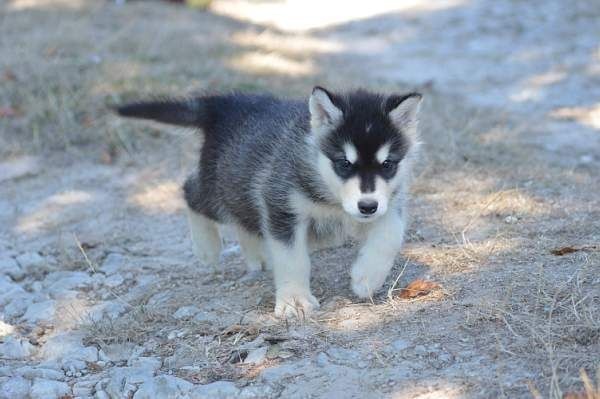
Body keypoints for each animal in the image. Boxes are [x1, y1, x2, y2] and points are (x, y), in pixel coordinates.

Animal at [116, 87, 422, 318]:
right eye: (344, 164)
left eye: (388, 165)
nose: (367, 207)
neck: (331, 198)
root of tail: (225, 103)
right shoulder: (281, 206)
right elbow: (292, 258)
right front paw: (294, 300)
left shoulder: (388, 203)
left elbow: (391, 234)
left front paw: (367, 277)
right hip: (223, 189)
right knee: (191, 189)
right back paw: (207, 248)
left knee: (245, 220)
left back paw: (258, 254)